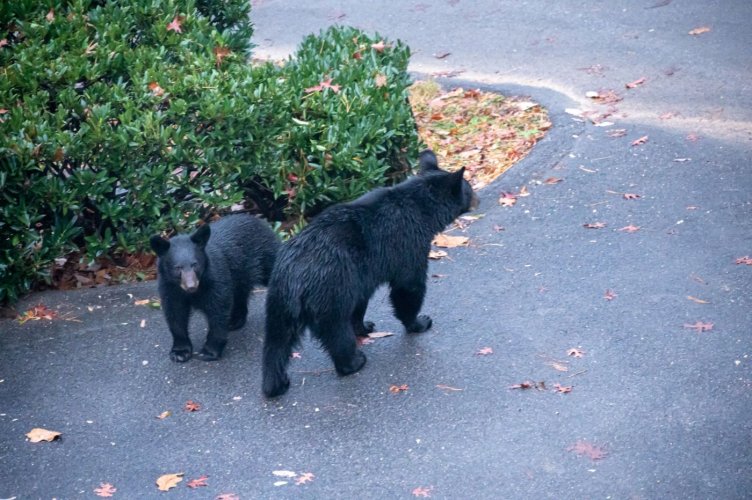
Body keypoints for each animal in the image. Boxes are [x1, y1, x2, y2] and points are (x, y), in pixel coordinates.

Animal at [150, 213, 280, 362]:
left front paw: (208, 352)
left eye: (195, 264)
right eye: (178, 268)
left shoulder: (216, 279)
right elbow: (175, 313)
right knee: (240, 293)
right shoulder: (169, 287)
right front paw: (180, 352)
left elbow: (218, 311)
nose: (191, 286)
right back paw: (235, 320)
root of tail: (259, 220)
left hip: (266, 257)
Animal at [262, 150, 476, 396]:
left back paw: (274, 384)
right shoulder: (408, 244)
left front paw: (365, 326)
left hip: (280, 300)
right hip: (330, 292)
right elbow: (408, 287)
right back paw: (353, 362)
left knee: (277, 340)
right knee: (336, 331)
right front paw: (419, 322)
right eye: (469, 188)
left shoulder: (360, 276)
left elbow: (361, 301)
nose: (477, 198)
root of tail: (295, 276)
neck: (420, 207)